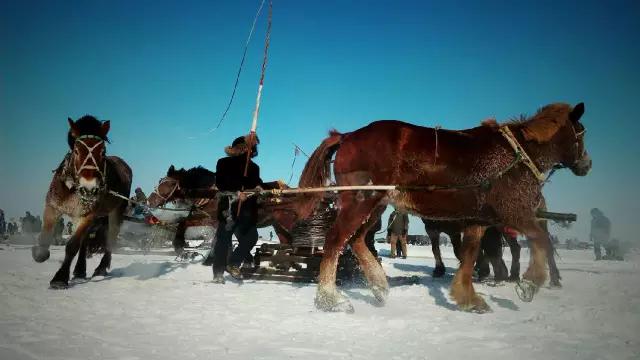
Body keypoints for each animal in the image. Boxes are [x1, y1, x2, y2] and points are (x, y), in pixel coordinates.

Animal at [33, 116, 133, 288]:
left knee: (111, 237)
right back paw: (80, 270)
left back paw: (100, 268)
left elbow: (72, 245)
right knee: (86, 239)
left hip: (116, 211)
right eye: (77, 150)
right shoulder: (53, 206)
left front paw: (60, 277)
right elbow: (46, 236)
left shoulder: (88, 214)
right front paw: (40, 253)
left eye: (103, 151)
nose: (89, 188)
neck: (73, 188)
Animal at [300, 102, 592, 312]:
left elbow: (470, 253)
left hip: (376, 207)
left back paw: (379, 286)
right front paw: (530, 283)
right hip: (361, 201)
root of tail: (347, 136)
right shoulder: (515, 211)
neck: (515, 156)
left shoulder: (477, 218)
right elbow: (541, 240)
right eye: (581, 132)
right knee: (336, 240)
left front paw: (468, 297)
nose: (587, 164)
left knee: (357, 240)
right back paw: (330, 299)